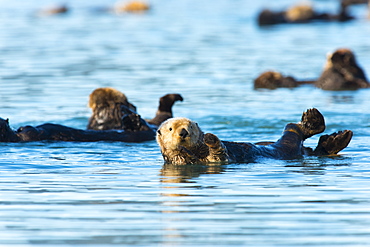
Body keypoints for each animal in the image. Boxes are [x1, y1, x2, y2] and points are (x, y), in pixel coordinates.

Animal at [156, 109, 352, 165]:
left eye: (190, 126)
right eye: (171, 129)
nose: (183, 132)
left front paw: (210, 137)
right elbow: (217, 156)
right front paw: (210, 138)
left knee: (296, 130)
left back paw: (314, 119)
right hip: (290, 144)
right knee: (296, 132)